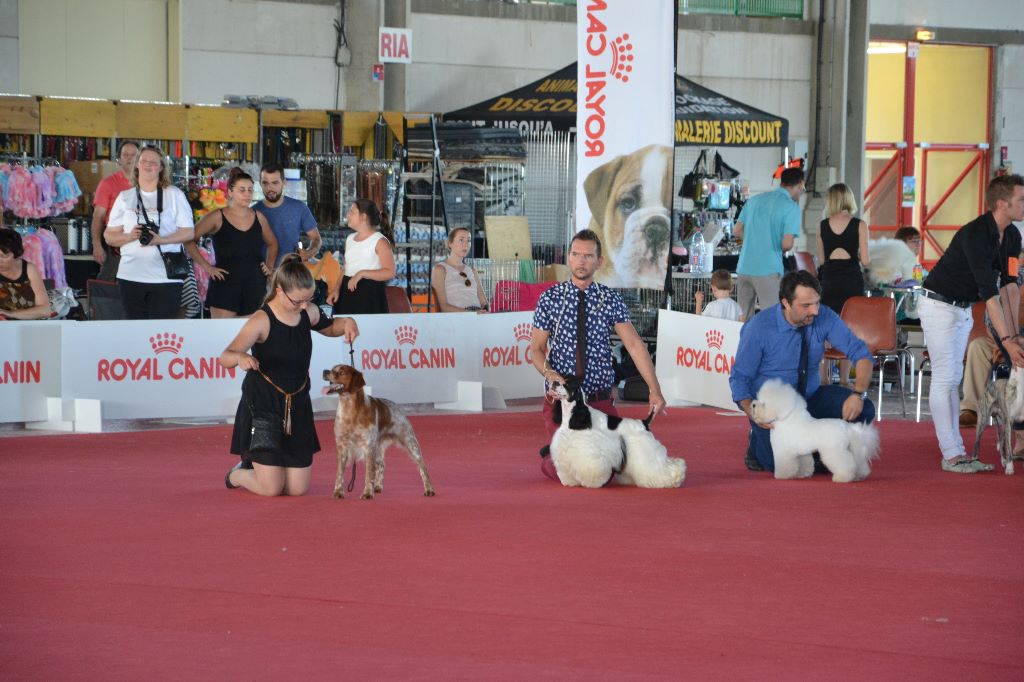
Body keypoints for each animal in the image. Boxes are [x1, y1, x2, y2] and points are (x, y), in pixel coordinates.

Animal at [548, 378, 684, 485]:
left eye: (567, 384)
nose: (554, 382)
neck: (573, 415)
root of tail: (644, 422)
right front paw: (570, 481)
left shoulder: (586, 448)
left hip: (646, 449)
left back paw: (676, 477)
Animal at [749, 376, 884, 483]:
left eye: (764, 404)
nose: (753, 405)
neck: (785, 420)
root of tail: (848, 427)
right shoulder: (801, 453)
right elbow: (805, 463)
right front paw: (802, 474)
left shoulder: (783, 451)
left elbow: (784, 465)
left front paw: (781, 476)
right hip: (850, 448)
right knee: (858, 462)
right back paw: (859, 476)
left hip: (833, 450)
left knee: (845, 463)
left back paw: (842, 477)